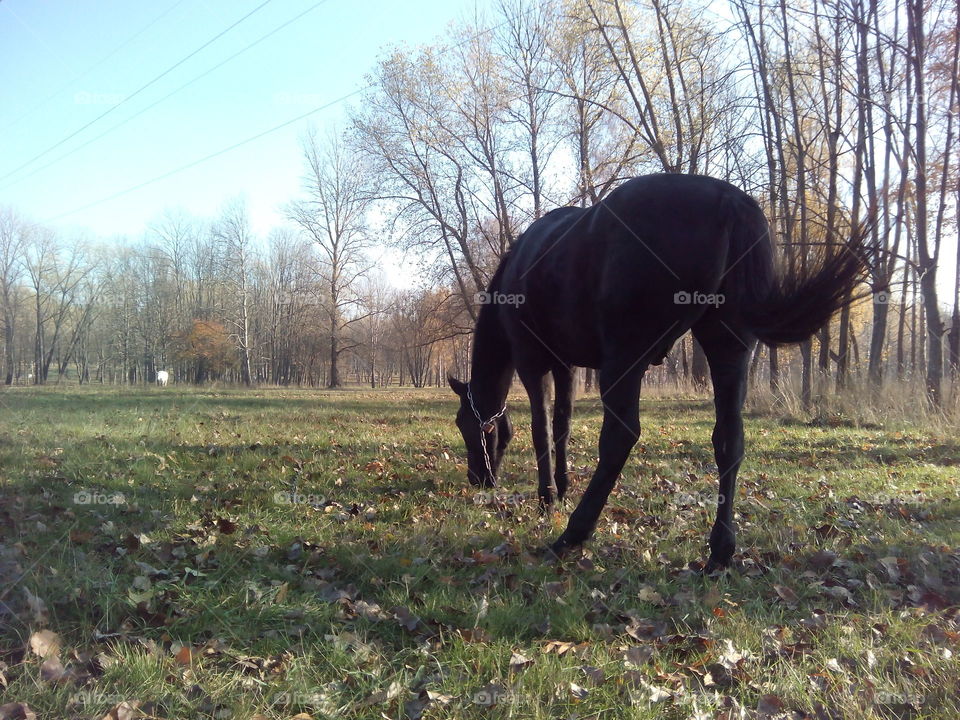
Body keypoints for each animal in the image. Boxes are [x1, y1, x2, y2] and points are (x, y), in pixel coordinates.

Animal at [446, 172, 868, 572]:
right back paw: (720, 550)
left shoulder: (533, 361)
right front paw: (561, 488)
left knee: (620, 437)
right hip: (728, 346)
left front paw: (548, 497)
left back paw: (573, 535)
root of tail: (729, 200)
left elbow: (541, 429)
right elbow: (562, 425)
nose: (478, 480)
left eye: (465, 424)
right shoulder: (566, 365)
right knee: (729, 439)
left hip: (625, 357)